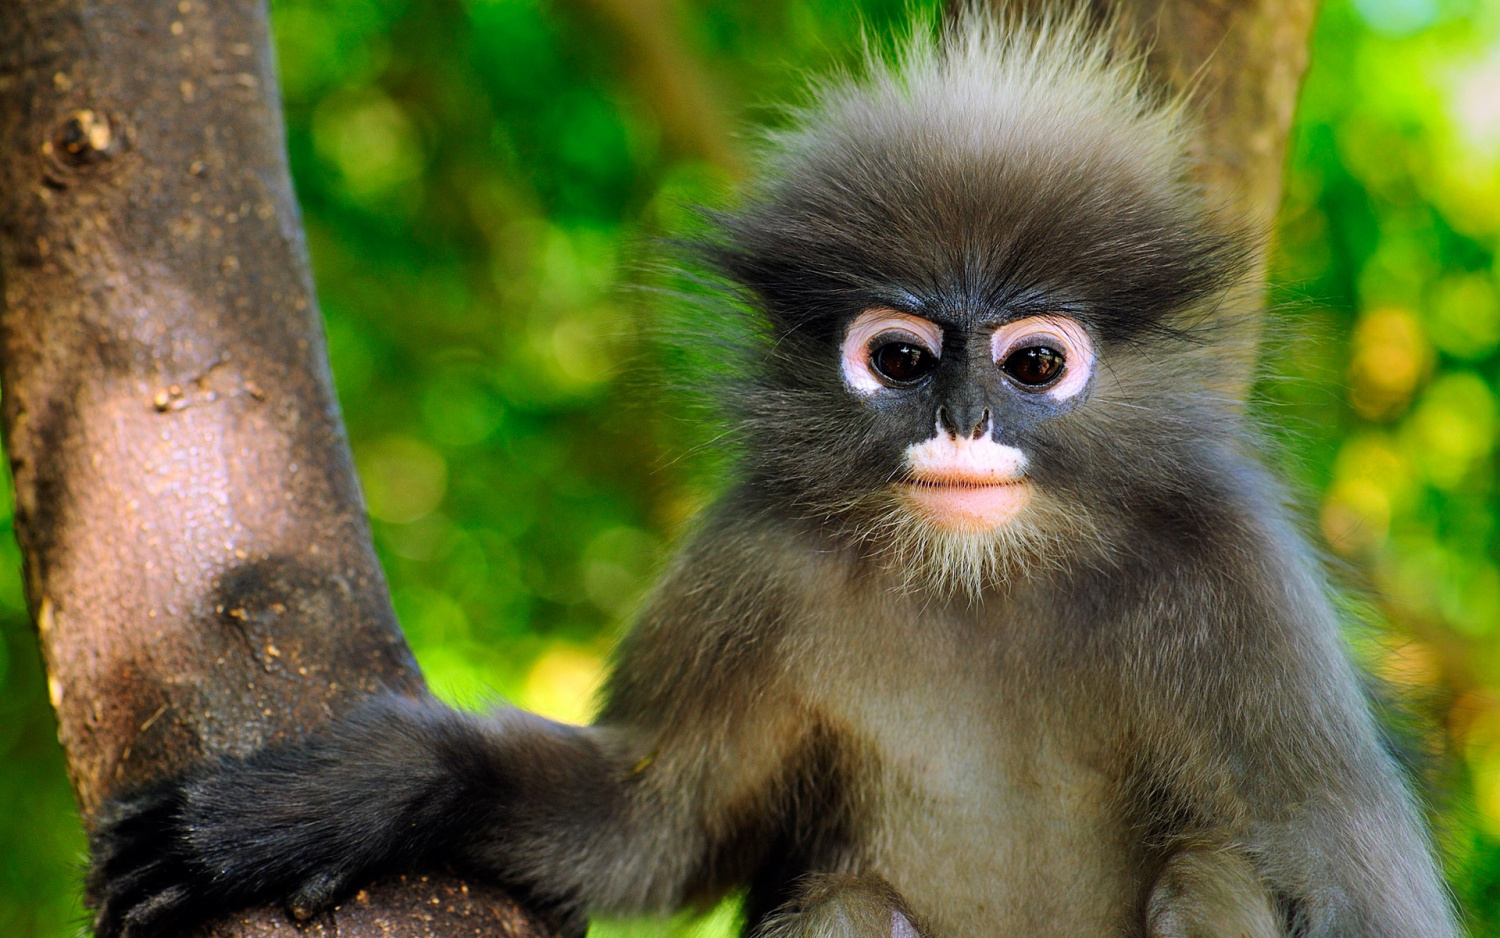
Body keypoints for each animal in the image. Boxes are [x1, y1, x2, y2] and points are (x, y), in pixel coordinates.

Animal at [87, 9, 1458, 936]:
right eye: (900, 357)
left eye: (1034, 363)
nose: (964, 420)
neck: (982, 580)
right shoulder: (748, 560)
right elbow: (650, 824)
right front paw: (349, 793)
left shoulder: (1240, 578)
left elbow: (1357, 882)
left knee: (1215, 867)